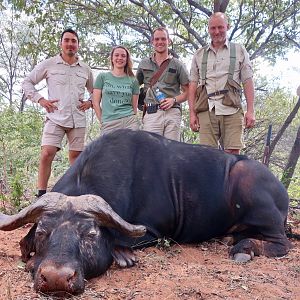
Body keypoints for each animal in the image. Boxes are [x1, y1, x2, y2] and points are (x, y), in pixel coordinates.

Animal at [0, 129, 292, 296]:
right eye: (42, 232)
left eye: (90, 234)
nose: (57, 278)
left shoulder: (153, 231)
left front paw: (123, 256)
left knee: (281, 243)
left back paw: (244, 248)